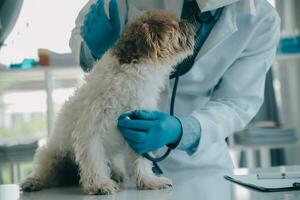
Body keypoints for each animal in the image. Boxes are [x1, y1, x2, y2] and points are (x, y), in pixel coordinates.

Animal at [21, 10, 195, 195]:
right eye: (175, 24)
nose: (190, 23)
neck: (132, 77)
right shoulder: (90, 131)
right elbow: (94, 159)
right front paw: (100, 184)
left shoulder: (140, 128)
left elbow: (141, 160)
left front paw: (149, 181)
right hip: (52, 154)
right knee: (45, 169)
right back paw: (33, 181)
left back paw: (116, 173)